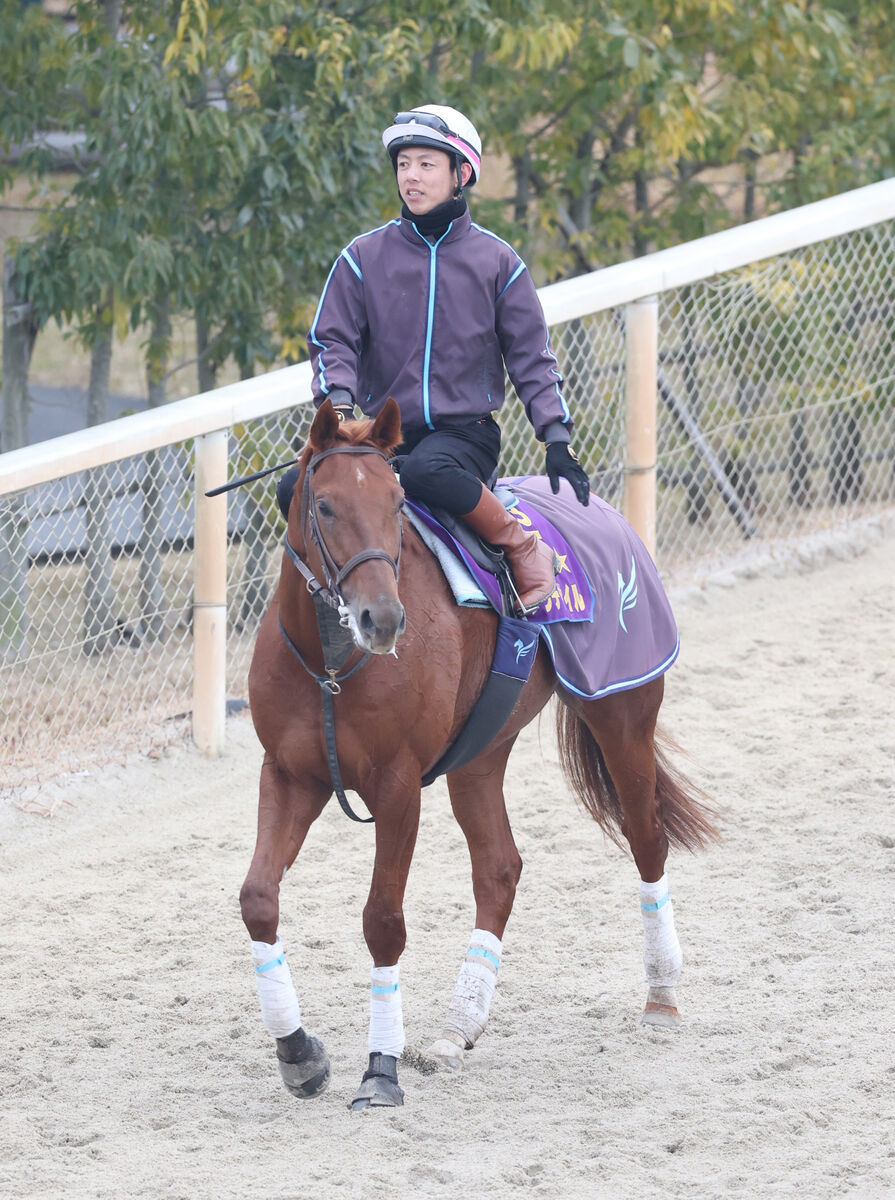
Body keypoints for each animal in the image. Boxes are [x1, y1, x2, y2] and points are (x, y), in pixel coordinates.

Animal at [235, 398, 710, 1108]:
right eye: (324, 506)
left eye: (397, 502)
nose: (382, 619)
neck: (332, 661)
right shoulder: (291, 775)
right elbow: (258, 899)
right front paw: (298, 1052)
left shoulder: (398, 786)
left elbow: (383, 921)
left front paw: (381, 1068)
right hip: (480, 753)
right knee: (499, 869)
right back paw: (460, 1027)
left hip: (621, 713)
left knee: (646, 837)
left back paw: (661, 993)